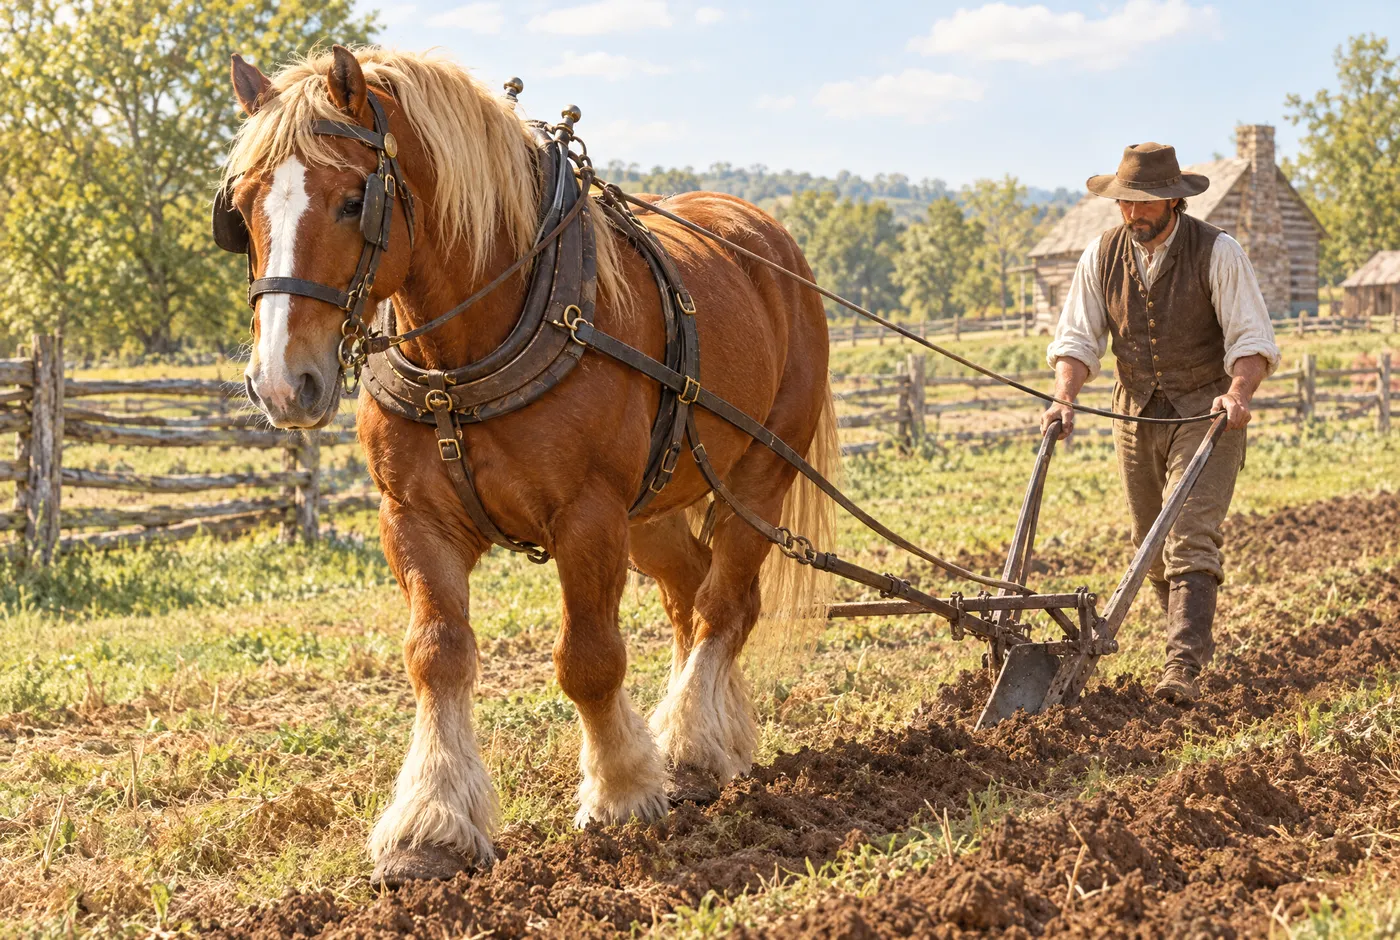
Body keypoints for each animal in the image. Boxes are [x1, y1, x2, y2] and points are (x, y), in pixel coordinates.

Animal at [221, 45, 838, 886]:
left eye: (354, 201)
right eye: (244, 206)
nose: (284, 382)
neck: (463, 354)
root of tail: (768, 237)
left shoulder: (587, 515)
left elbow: (588, 660)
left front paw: (621, 791)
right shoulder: (412, 517)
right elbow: (437, 655)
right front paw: (430, 826)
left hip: (759, 473)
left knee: (724, 604)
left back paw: (691, 745)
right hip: (656, 505)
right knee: (692, 593)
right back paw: (709, 739)